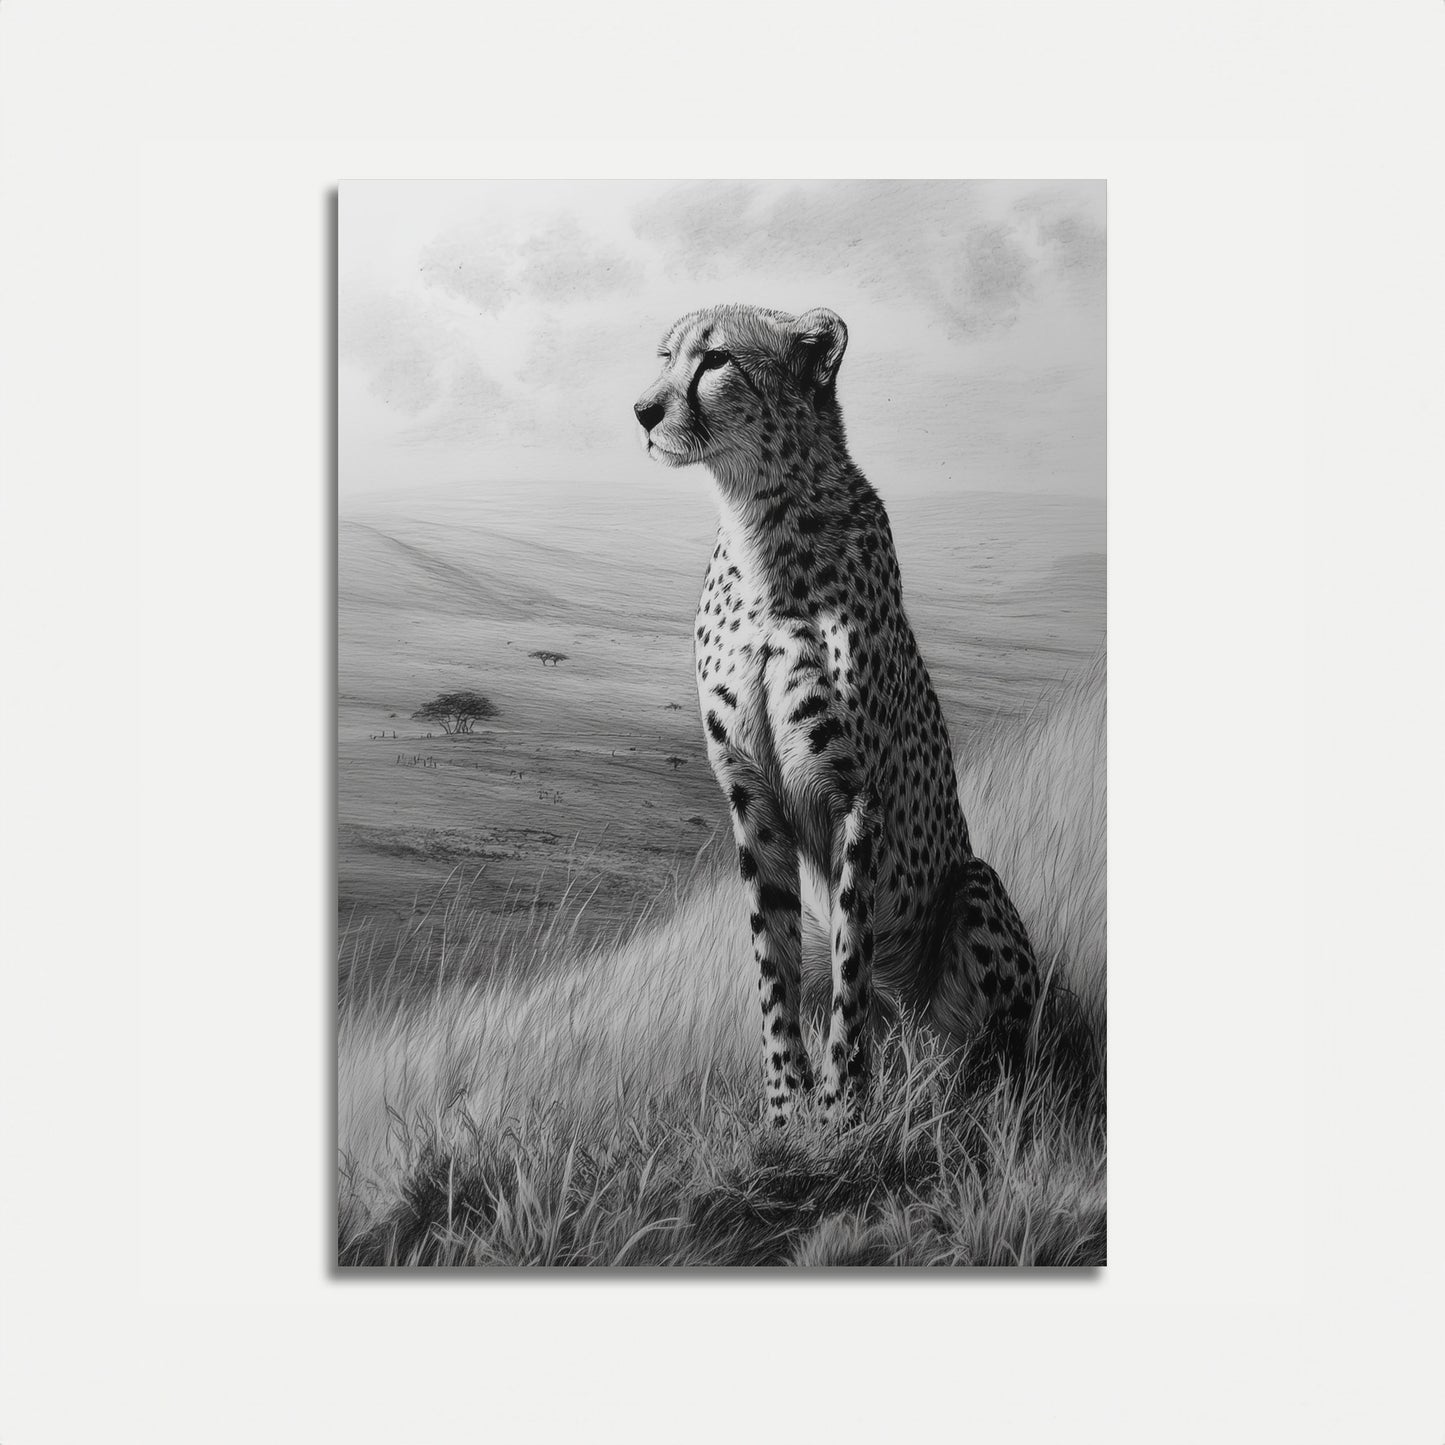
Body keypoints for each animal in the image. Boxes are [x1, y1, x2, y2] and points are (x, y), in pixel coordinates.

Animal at [634, 303, 1039, 1127]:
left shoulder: (856, 796)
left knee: (991, 1054)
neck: (761, 529)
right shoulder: (751, 797)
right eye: (664, 356)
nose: (643, 411)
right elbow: (774, 966)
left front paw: (841, 1105)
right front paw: (786, 1105)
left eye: (716, 360)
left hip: (975, 889)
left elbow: (855, 951)